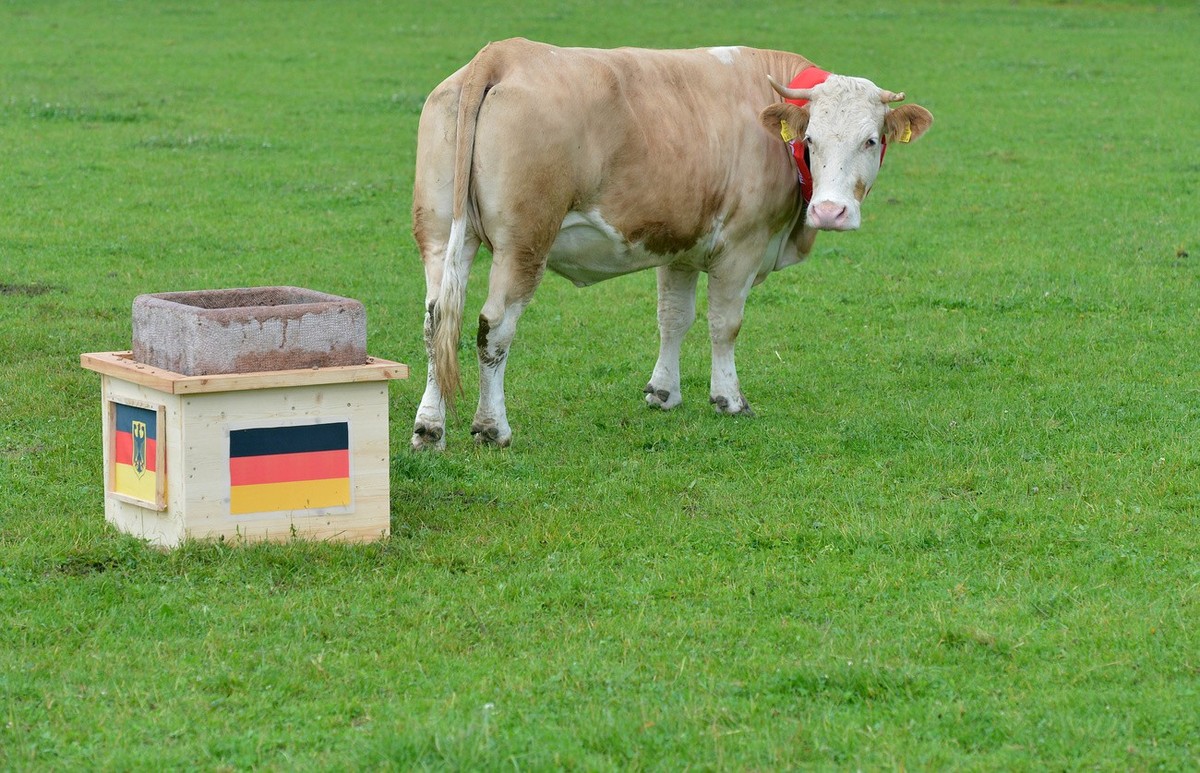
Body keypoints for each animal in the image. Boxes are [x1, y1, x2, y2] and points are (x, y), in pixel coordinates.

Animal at [410, 38, 933, 450]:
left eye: (870, 140)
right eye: (810, 139)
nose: (829, 212)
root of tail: (503, 53)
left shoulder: (677, 244)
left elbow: (673, 319)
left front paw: (662, 393)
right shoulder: (742, 246)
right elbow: (725, 325)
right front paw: (729, 399)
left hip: (440, 234)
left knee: (438, 321)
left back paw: (430, 428)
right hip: (524, 244)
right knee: (494, 328)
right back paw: (491, 427)